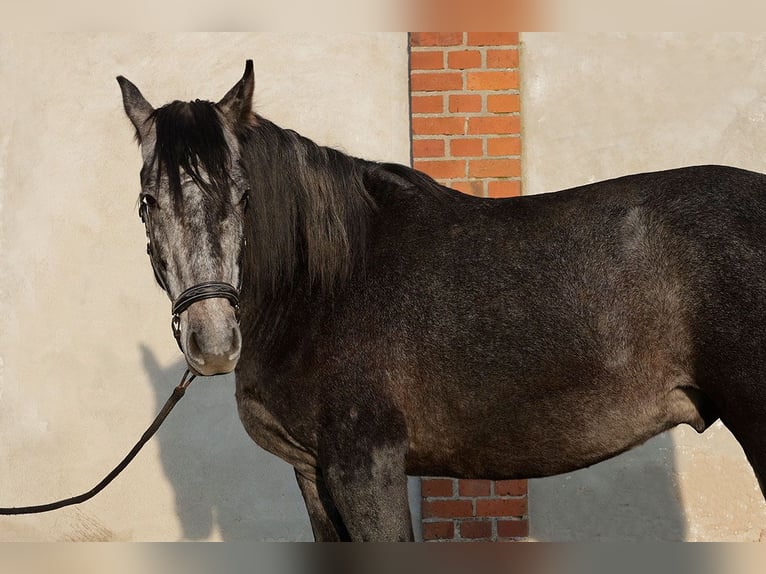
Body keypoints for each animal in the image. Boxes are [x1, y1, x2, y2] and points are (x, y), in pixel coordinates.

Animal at [117, 60, 766, 541]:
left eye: (245, 196)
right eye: (148, 201)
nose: (213, 341)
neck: (322, 289)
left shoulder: (365, 467)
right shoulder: (311, 473)